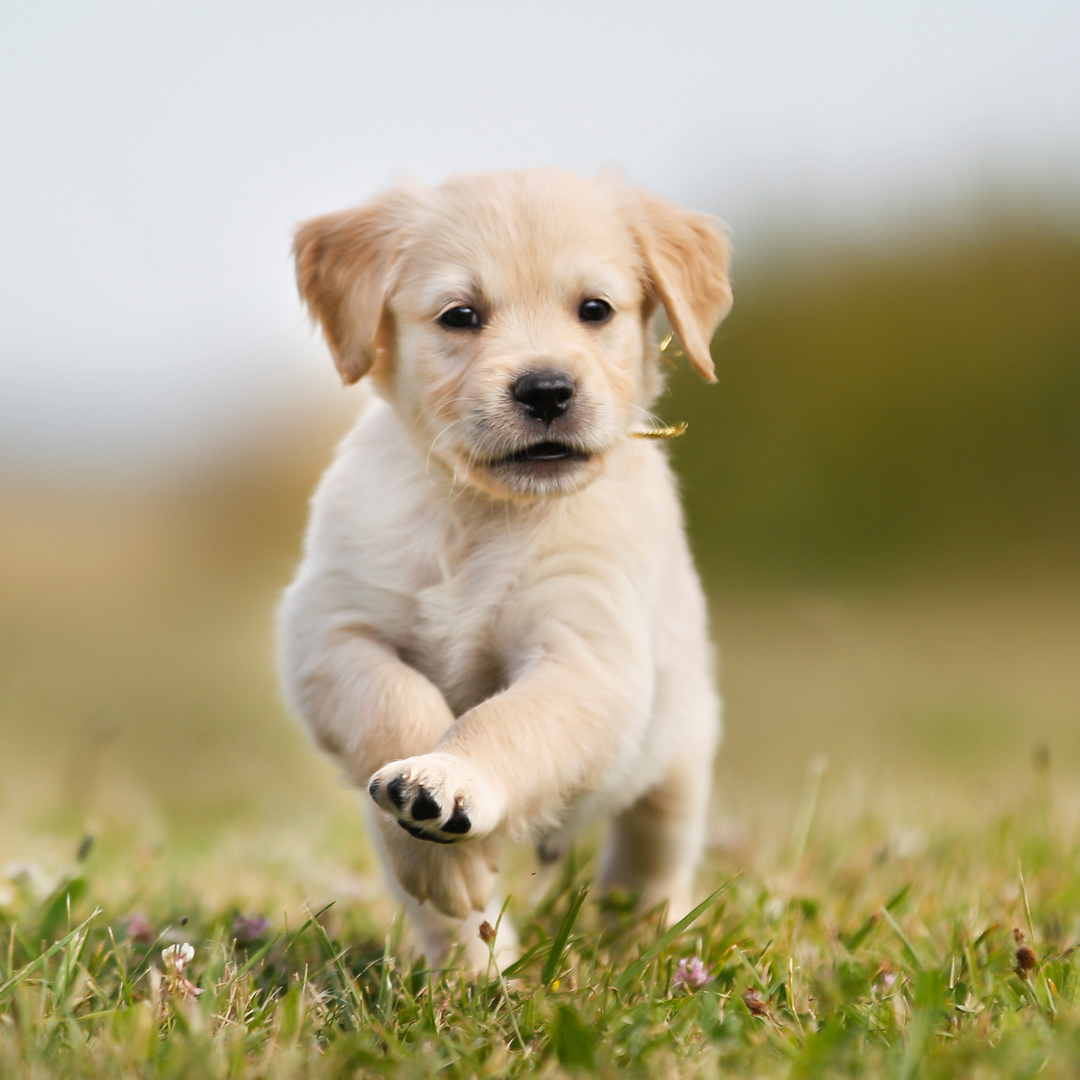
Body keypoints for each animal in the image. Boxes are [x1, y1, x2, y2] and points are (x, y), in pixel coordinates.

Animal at [278, 168, 734, 972]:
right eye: (461, 315)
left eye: (595, 309)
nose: (546, 389)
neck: (483, 515)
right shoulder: (330, 632)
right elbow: (396, 705)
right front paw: (439, 843)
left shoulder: (588, 655)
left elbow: (507, 722)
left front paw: (452, 778)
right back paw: (477, 974)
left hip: (679, 755)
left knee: (651, 859)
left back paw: (644, 945)